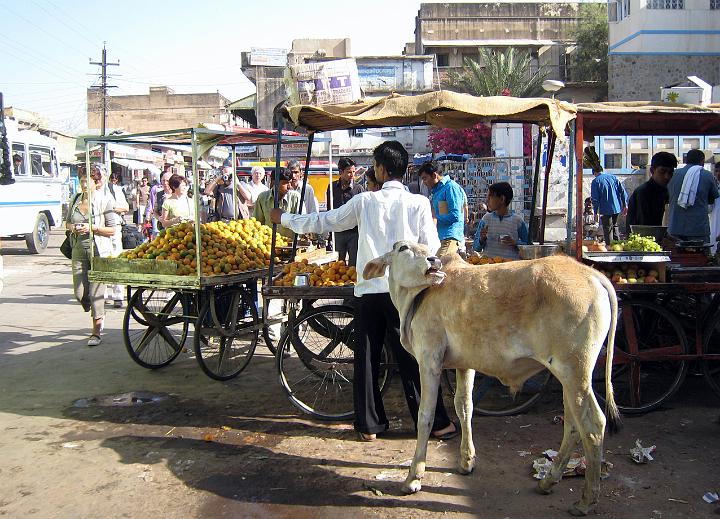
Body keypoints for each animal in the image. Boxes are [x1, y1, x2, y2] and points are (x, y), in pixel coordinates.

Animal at [362, 242, 620, 516]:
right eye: (403, 248)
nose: (433, 260)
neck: (418, 297)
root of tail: (593, 275)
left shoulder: (429, 359)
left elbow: (425, 416)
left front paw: (413, 477)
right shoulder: (464, 365)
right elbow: (464, 407)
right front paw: (466, 462)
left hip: (575, 372)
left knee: (593, 426)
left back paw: (586, 500)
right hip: (569, 378)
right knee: (572, 425)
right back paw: (549, 481)